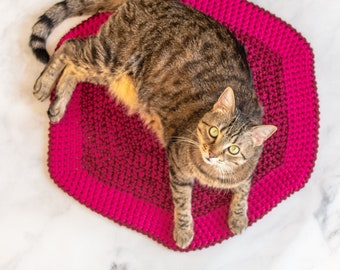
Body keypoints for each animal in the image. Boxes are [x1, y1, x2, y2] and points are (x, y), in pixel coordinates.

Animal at [29, 0, 276, 249]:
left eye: (233, 149)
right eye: (213, 132)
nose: (211, 153)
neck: (215, 174)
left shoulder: (250, 168)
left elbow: (243, 191)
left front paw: (238, 217)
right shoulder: (178, 164)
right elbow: (182, 201)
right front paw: (184, 230)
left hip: (109, 72)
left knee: (74, 68)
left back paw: (58, 103)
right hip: (109, 57)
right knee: (69, 46)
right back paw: (44, 84)